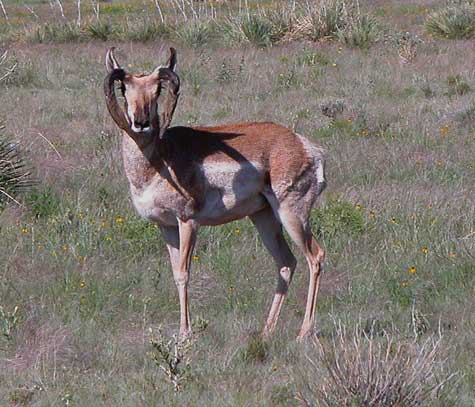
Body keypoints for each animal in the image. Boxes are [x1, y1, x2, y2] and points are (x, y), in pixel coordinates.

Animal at [104, 47, 328, 342]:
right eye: (123, 88)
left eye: (158, 89)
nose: (140, 123)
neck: (160, 159)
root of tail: (306, 146)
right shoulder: (166, 227)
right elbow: (175, 273)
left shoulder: (188, 222)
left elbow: (184, 274)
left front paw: (185, 333)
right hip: (264, 218)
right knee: (286, 262)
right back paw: (266, 331)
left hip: (293, 217)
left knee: (315, 257)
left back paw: (303, 332)